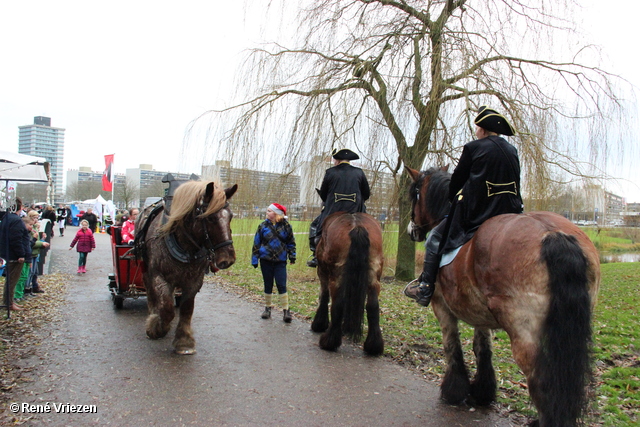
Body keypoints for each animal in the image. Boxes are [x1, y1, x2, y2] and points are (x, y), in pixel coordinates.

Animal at [136, 180, 238, 354]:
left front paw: (184, 341)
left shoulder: (194, 281)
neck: (184, 246)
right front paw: (158, 327)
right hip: (146, 270)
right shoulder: (158, 276)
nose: (228, 259)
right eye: (211, 218)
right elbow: (167, 308)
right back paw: (154, 315)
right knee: (152, 293)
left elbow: (186, 308)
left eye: (230, 216)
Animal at [312, 212, 382, 356]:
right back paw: (373, 346)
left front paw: (319, 324)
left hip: (336, 276)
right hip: (373, 277)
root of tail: (357, 227)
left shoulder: (322, 272)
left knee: (338, 304)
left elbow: (324, 296)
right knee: (372, 305)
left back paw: (329, 342)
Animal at [408, 166, 604, 426]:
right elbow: (482, 347)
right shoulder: (478, 311)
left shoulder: (442, 307)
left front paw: (454, 391)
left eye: (415, 194)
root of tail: (553, 234)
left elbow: (452, 344)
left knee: (541, 380)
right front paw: (482, 392)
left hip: (523, 331)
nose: (412, 231)